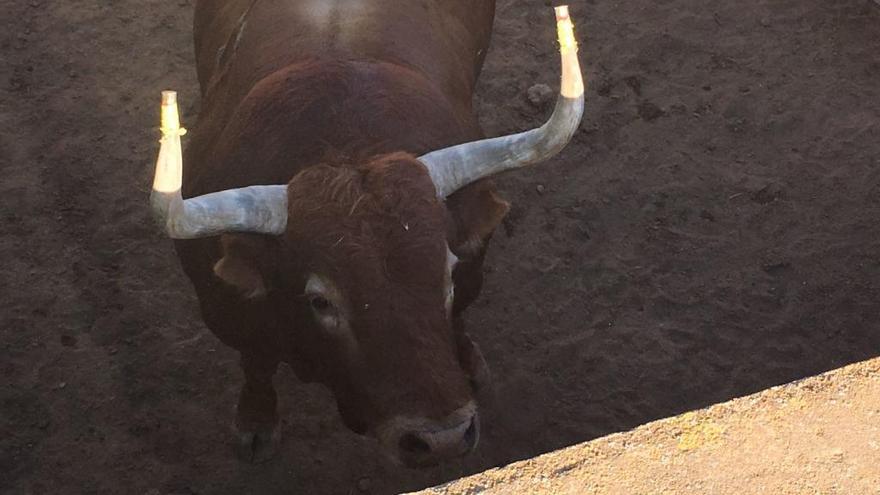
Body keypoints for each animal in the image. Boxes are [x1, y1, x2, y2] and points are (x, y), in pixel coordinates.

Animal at [150, 0, 584, 468]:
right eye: (321, 300)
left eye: (446, 275)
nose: (442, 438)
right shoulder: (225, 314)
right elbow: (257, 363)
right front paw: (256, 423)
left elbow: (461, 315)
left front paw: (469, 361)